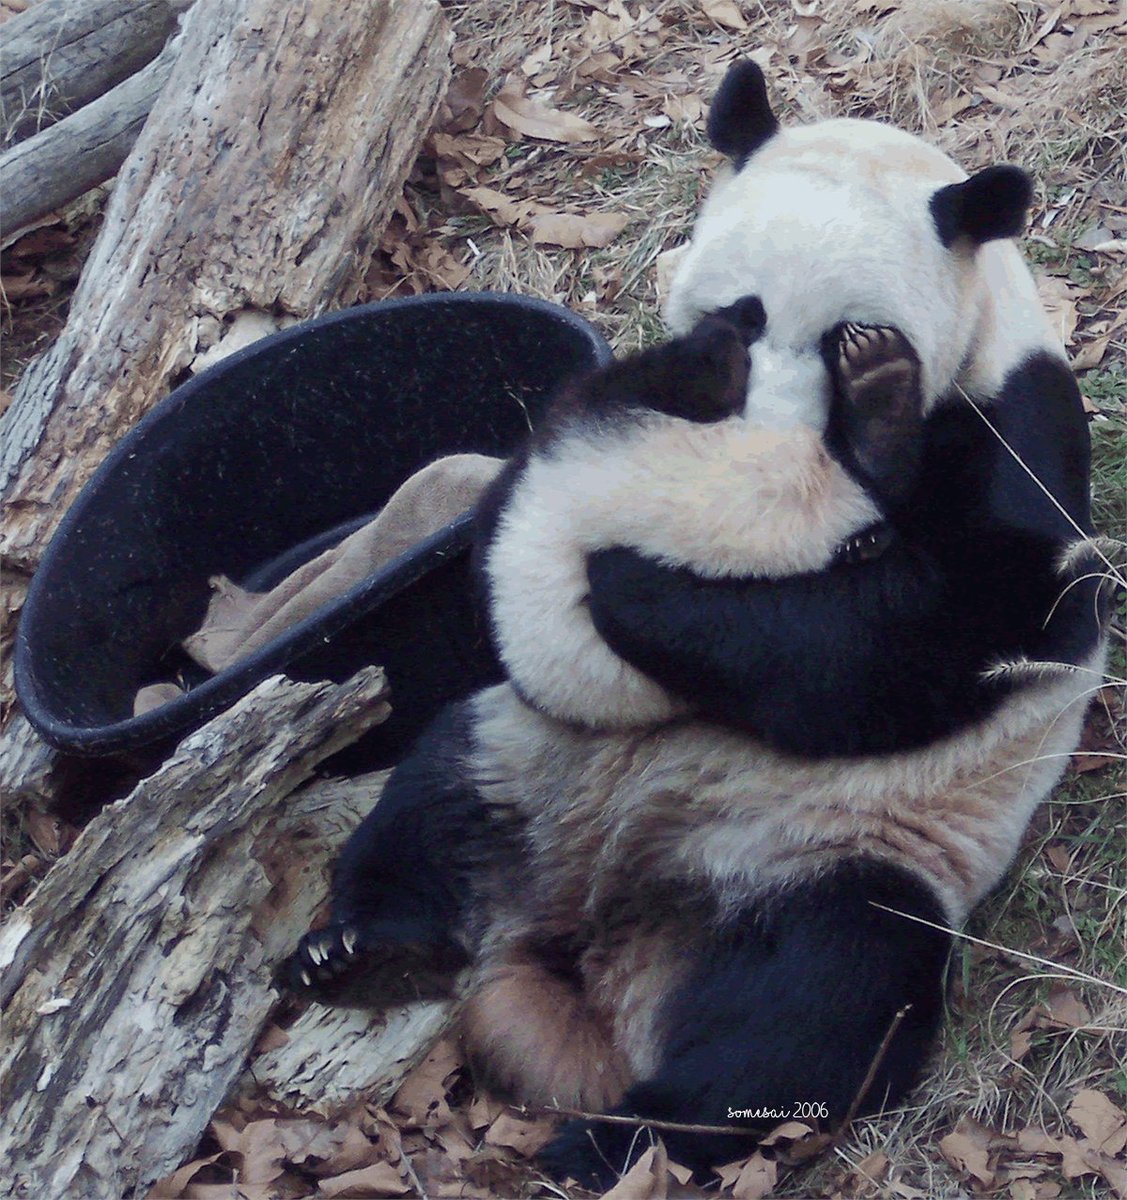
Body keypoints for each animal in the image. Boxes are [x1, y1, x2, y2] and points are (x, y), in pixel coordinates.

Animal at [285, 61, 1107, 1188]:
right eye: (743, 312)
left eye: (840, 340)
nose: (773, 435)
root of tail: (594, 942)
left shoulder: (1013, 426)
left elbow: (935, 640)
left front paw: (643, 582)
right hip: (527, 752)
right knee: (433, 800)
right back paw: (363, 949)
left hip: (837, 849)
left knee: (810, 1004)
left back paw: (614, 1140)